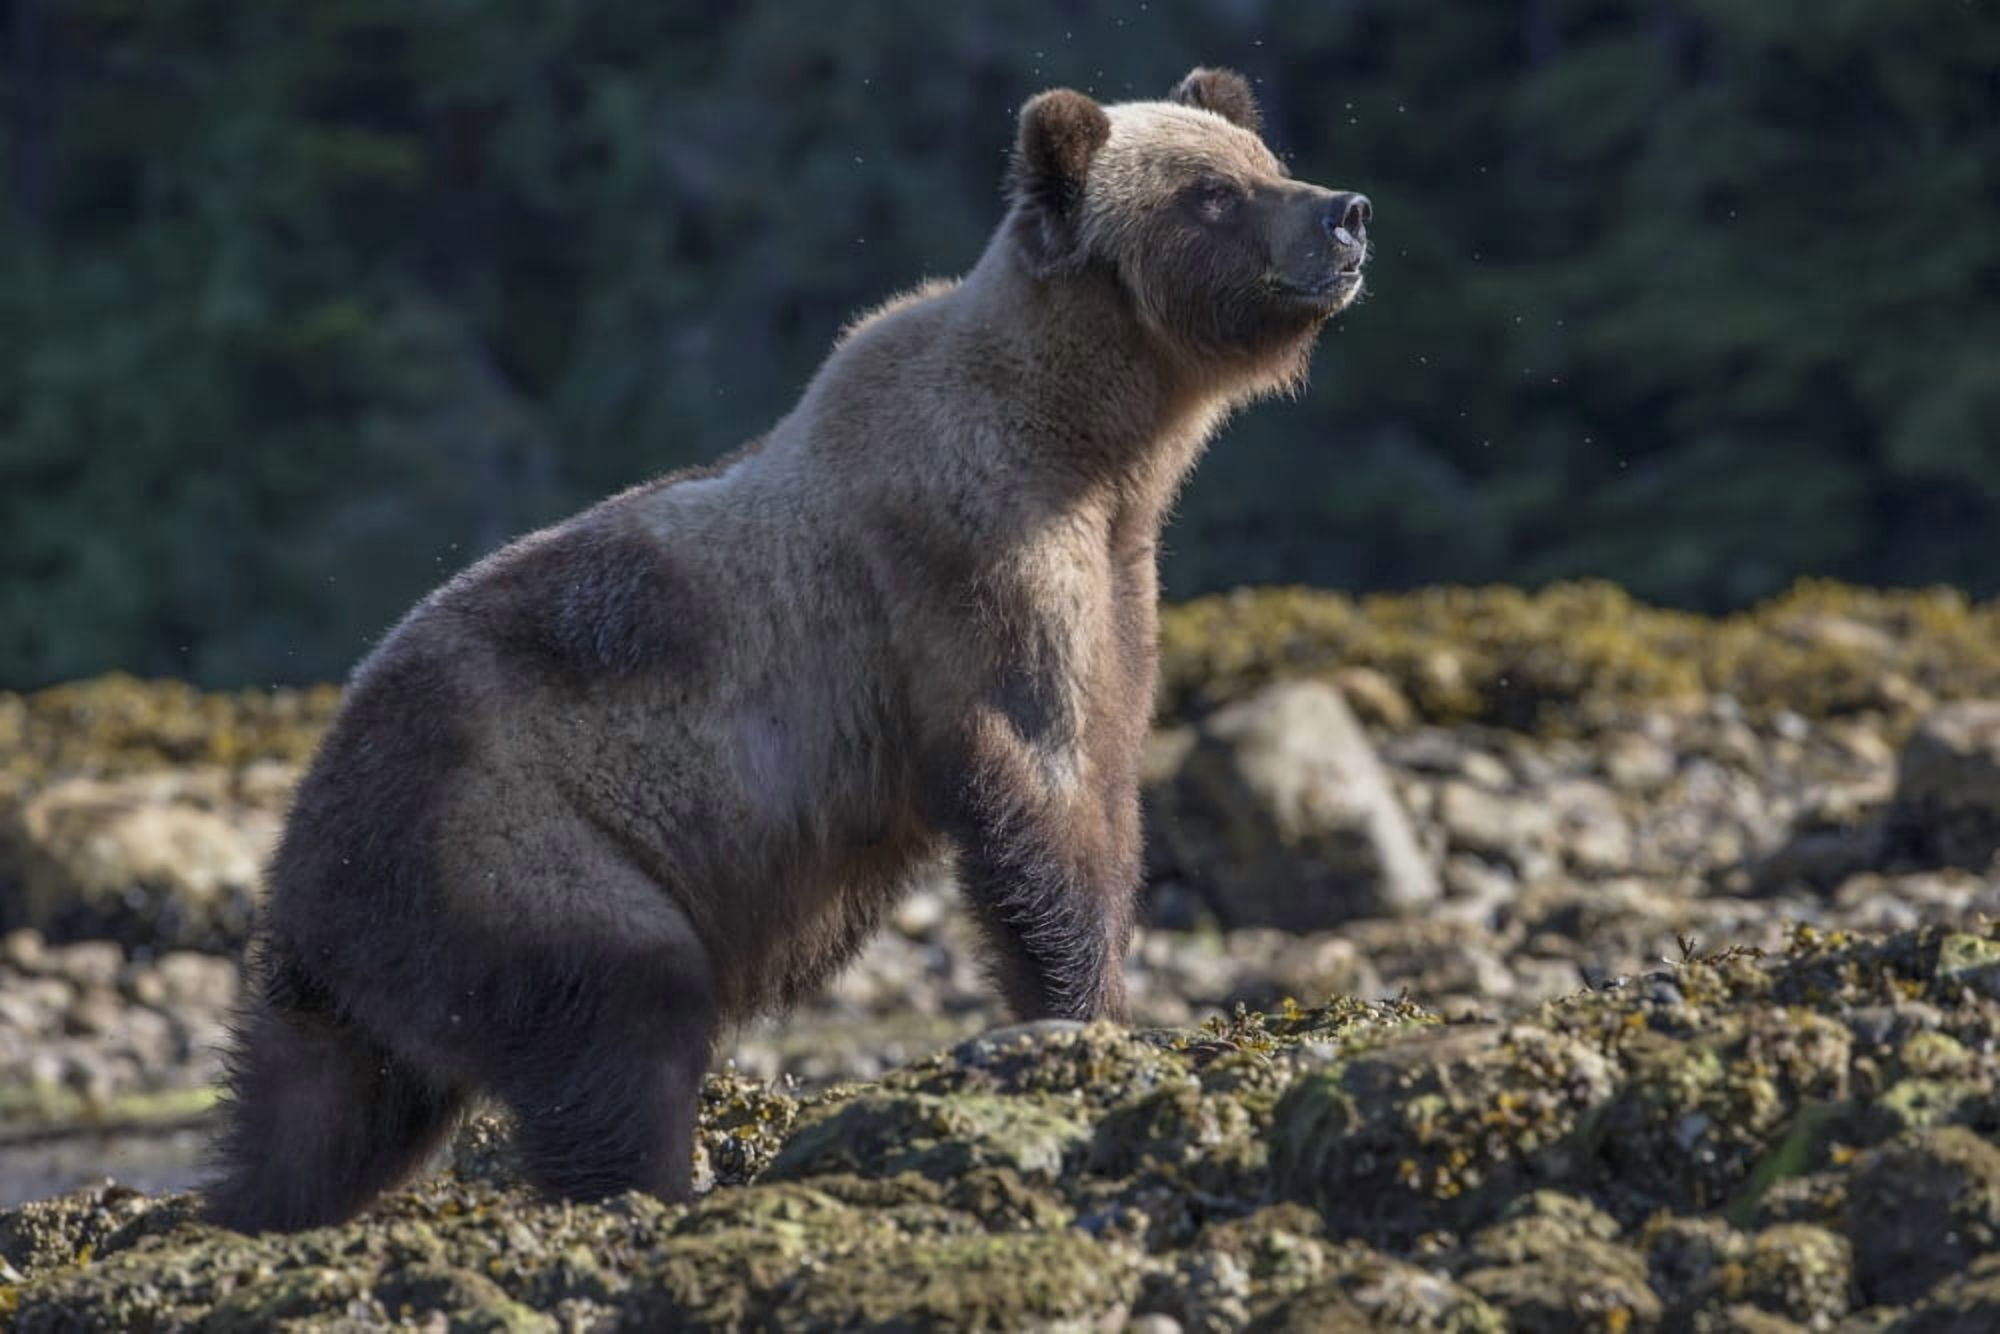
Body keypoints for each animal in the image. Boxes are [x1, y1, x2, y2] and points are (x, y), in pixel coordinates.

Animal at [204, 66, 1372, 1233]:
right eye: (1211, 193)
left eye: (1261, 159)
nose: (1345, 212)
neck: (1090, 442)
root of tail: (303, 857)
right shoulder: (974, 563)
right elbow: (1037, 784)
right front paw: (1087, 1015)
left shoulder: (1117, 574)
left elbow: (1105, 768)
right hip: (512, 848)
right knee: (625, 1018)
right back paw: (652, 1181)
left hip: (370, 961)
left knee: (319, 1106)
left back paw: (251, 1198)